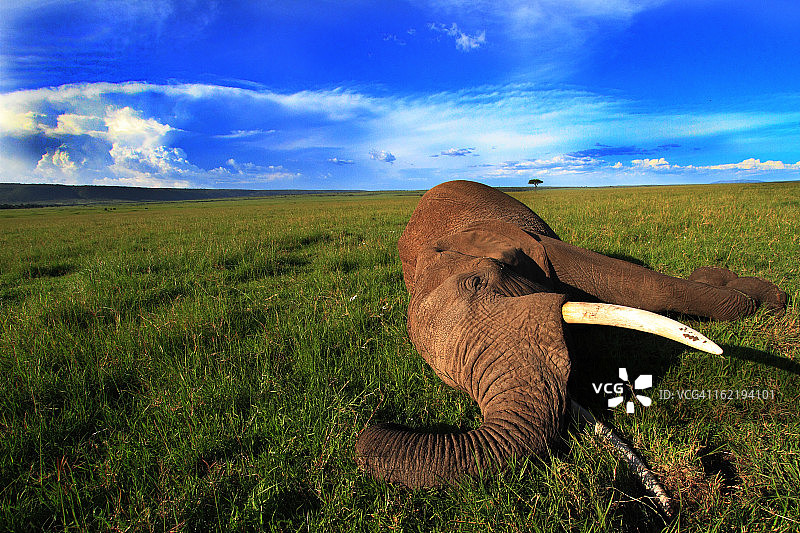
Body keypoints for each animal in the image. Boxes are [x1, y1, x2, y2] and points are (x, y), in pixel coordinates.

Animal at [355, 179, 787, 491]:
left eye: (478, 283)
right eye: (446, 378)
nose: (375, 428)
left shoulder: (537, 247)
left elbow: (643, 287)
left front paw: (770, 301)